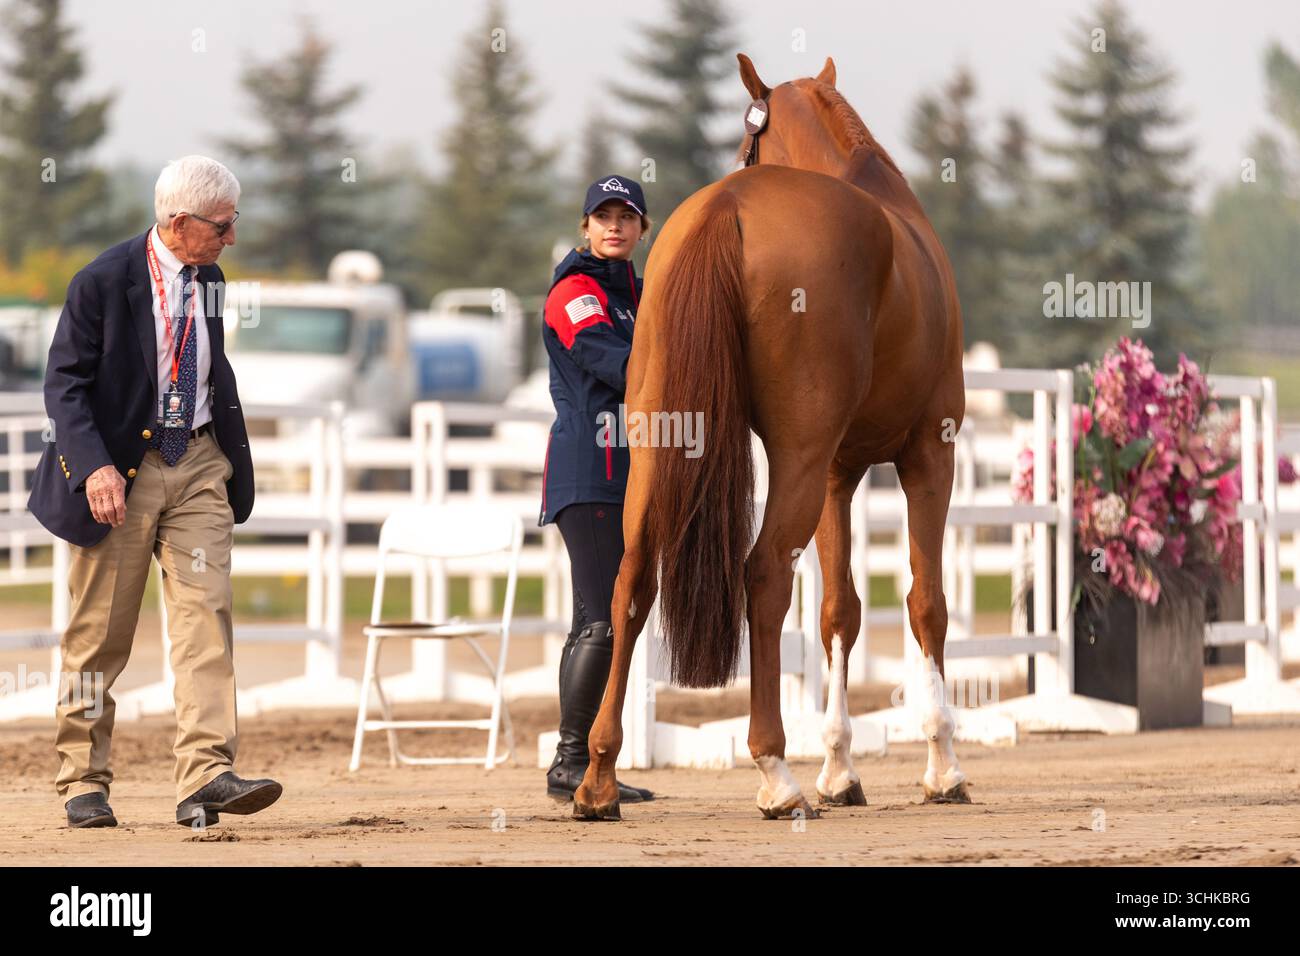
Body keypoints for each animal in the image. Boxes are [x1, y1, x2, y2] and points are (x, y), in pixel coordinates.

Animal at [573, 54, 969, 820]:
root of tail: (727, 208)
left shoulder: (840, 473)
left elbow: (840, 612)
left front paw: (840, 769)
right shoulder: (928, 456)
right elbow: (925, 603)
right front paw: (942, 766)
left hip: (660, 450)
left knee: (632, 579)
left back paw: (600, 779)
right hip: (801, 460)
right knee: (762, 575)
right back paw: (775, 771)